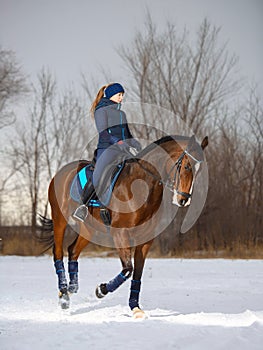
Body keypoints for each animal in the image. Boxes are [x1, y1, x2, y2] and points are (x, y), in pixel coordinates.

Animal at [47, 134, 208, 318]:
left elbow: (137, 272)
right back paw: (64, 294)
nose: (183, 200)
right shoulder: (121, 234)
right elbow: (127, 269)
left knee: (73, 251)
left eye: (199, 171)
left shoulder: (145, 240)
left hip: (89, 228)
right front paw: (101, 290)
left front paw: (135, 308)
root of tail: (61, 172)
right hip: (60, 220)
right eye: (187, 166)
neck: (142, 187)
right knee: (58, 253)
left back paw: (72, 288)